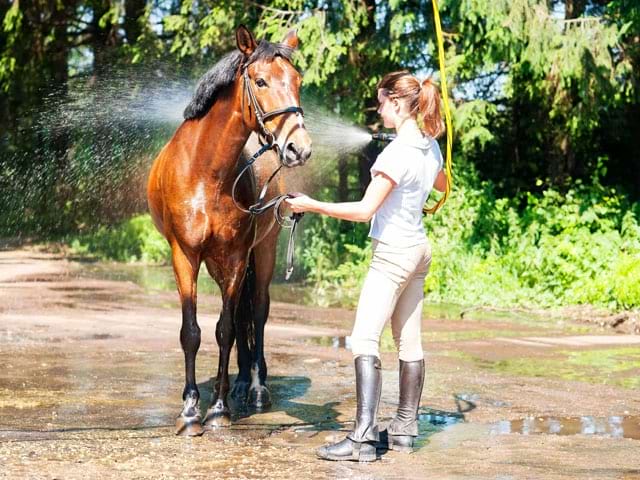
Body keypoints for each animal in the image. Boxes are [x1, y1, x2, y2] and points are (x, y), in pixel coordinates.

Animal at [148, 25, 312, 436]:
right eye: (261, 80)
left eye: (297, 81)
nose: (299, 148)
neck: (205, 173)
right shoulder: (185, 256)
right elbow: (192, 332)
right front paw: (191, 410)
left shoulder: (237, 255)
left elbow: (225, 330)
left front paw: (218, 410)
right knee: (241, 318)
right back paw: (237, 384)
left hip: (263, 253)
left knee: (256, 313)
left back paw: (254, 387)